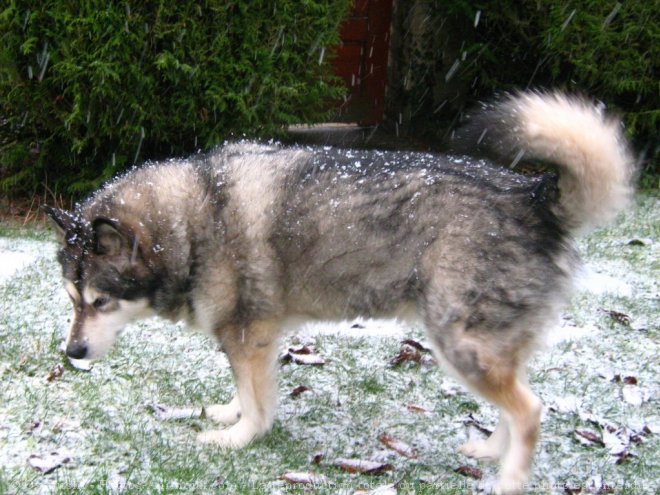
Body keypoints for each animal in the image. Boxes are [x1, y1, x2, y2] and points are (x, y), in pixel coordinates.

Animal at [45, 92, 636, 492]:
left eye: (99, 302)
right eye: (71, 300)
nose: (71, 353)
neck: (192, 220)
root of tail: (531, 196)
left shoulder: (248, 336)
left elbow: (258, 406)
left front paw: (240, 438)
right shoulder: (248, 340)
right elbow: (245, 392)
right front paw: (230, 416)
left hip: (459, 345)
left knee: (530, 410)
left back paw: (510, 481)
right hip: (485, 347)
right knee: (515, 408)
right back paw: (491, 451)